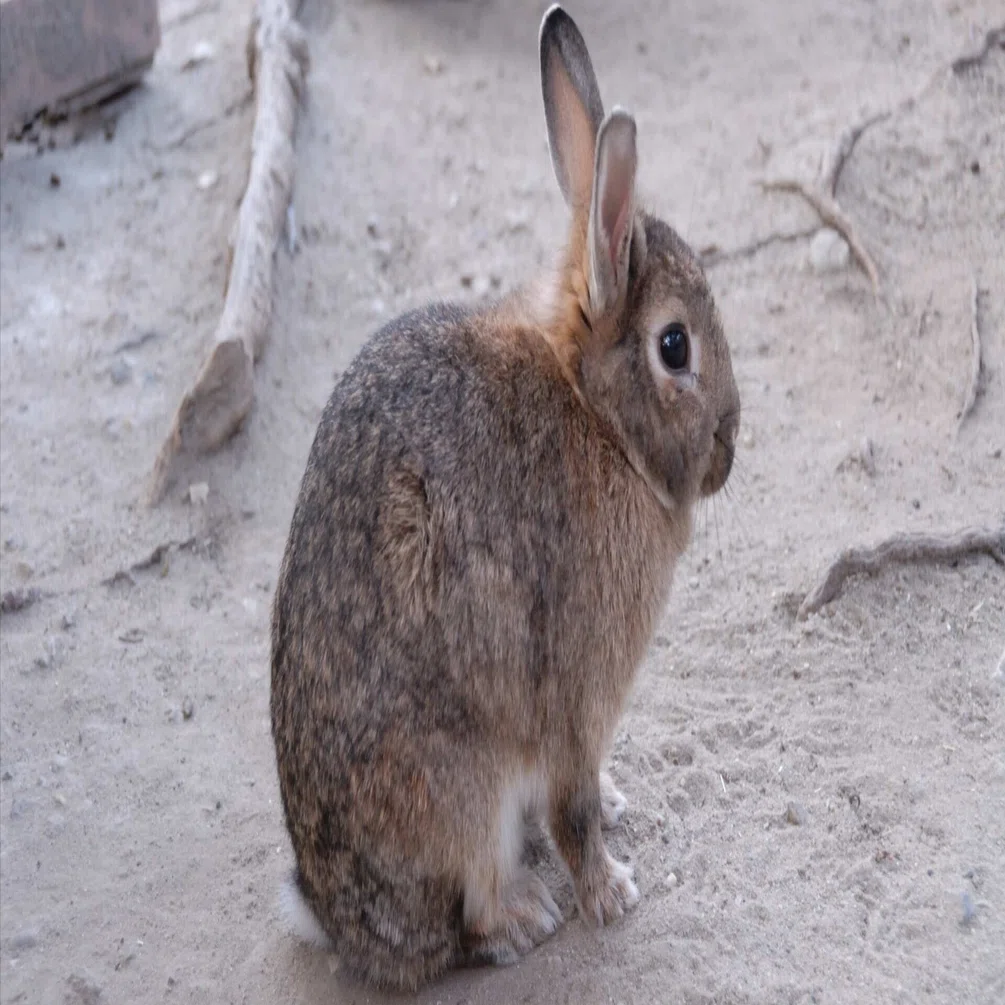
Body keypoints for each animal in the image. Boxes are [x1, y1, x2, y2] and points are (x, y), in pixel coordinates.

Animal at [271, 3, 740, 991]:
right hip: (463, 782)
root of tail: (348, 926)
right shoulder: (573, 688)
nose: (727, 447)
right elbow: (571, 808)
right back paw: (527, 915)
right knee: (473, 906)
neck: (592, 411)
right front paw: (612, 893)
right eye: (673, 345)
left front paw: (618, 802)